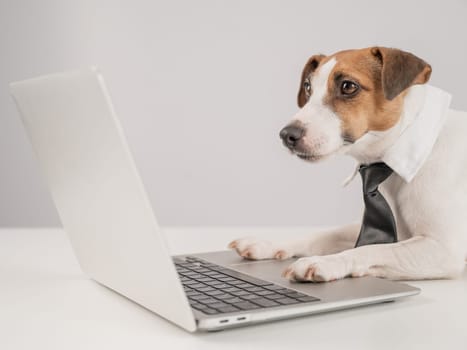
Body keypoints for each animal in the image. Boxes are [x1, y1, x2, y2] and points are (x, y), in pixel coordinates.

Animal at [229, 46, 467, 282]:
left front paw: (325, 262)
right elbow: (323, 235)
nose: (287, 135)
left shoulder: (444, 250)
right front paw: (268, 243)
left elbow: (372, 249)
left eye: (348, 86)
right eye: (308, 87)